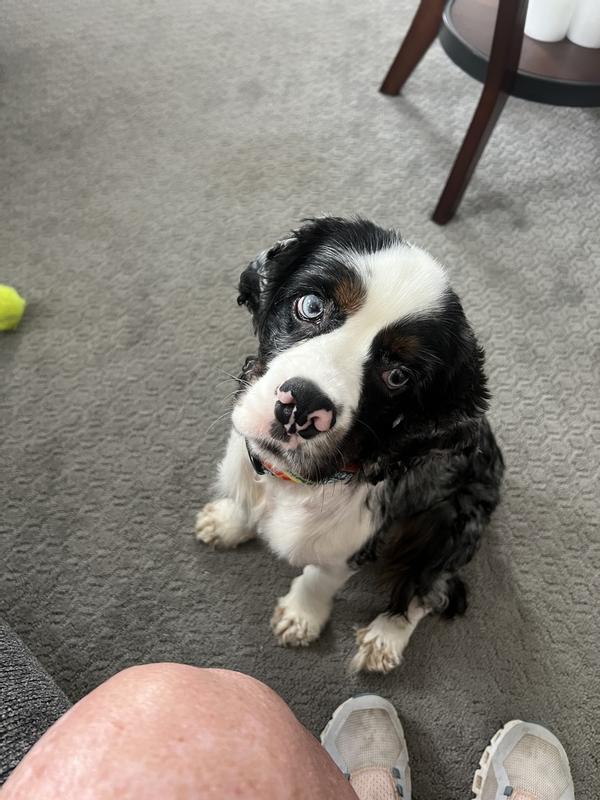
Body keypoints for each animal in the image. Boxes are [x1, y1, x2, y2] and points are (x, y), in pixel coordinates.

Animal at [196, 216, 502, 672]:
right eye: (310, 306)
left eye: (398, 375)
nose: (301, 407)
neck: (296, 482)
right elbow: (246, 502)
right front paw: (229, 521)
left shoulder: (353, 538)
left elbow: (321, 576)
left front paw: (301, 616)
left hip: (454, 519)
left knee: (428, 586)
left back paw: (384, 638)